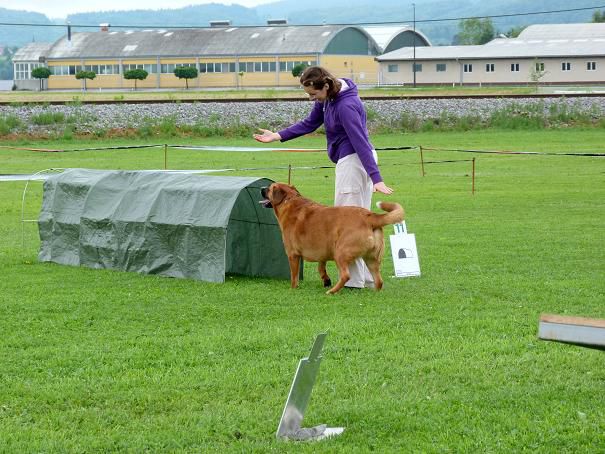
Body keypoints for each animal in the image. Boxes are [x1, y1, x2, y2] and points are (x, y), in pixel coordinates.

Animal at [258, 184, 404, 294]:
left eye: (270, 188)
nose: (261, 188)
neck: (289, 201)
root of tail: (369, 216)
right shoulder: (322, 250)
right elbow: (321, 267)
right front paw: (326, 280)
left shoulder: (293, 255)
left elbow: (294, 276)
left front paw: (293, 288)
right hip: (371, 259)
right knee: (379, 281)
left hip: (341, 252)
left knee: (346, 275)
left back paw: (332, 291)